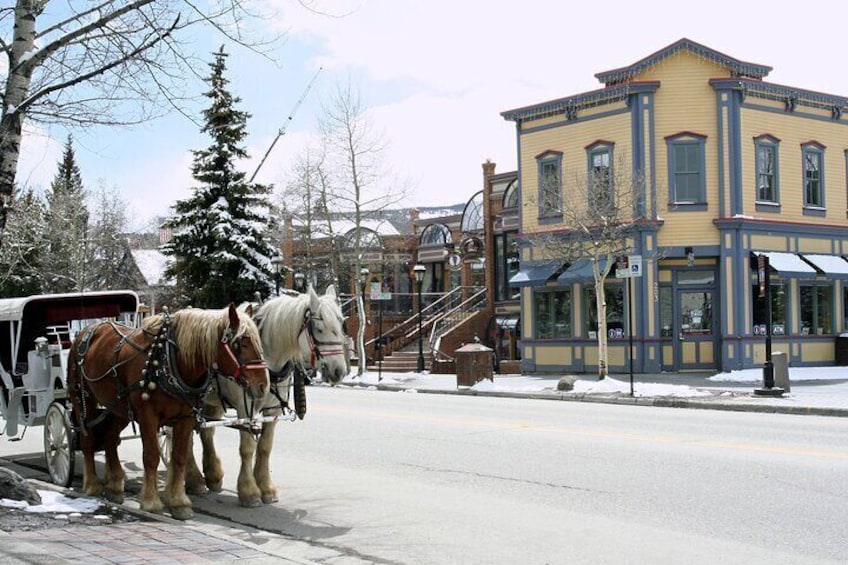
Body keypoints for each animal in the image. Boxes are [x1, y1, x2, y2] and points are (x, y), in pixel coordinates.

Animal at [68, 304, 268, 520]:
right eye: (241, 342)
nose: (263, 385)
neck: (169, 361)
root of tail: (87, 331)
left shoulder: (185, 418)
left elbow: (179, 457)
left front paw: (179, 502)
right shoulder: (148, 417)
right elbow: (151, 457)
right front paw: (151, 502)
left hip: (118, 406)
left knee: (110, 438)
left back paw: (114, 487)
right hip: (82, 400)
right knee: (87, 440)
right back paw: (92, 485)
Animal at [185, 284, 348, 504]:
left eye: (341, 326)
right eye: (319, 329)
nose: (339, 371)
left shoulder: (273, 409)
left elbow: (265, 446)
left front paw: (266, 487)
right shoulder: (245, 407)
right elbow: (247, 447)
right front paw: (249, 491)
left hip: (213, 401)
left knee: (206, 432)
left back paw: (213, 475)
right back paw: (193, 480)